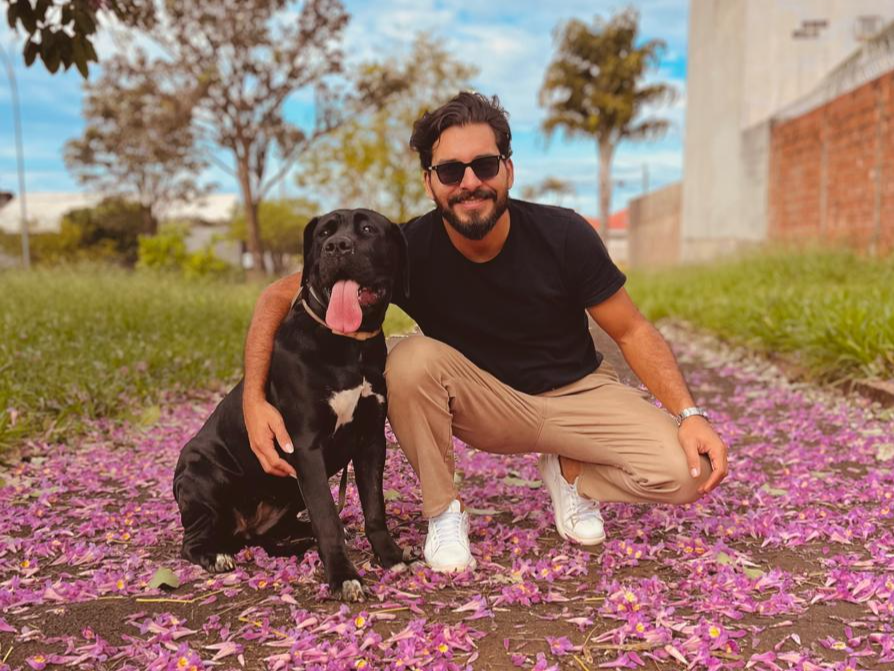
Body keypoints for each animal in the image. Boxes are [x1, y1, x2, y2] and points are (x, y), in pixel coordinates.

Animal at [173, 208, 410, 601]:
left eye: (367, 228)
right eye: (324, 233)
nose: (337, 246)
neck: (349, 346)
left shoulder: (372, 440)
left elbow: (375, 508)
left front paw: (390, 557)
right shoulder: (306, 447)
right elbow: (327, 516)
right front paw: (344, 576)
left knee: (278, 533)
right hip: (203, 477)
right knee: (191, 543)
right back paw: (215, 555)